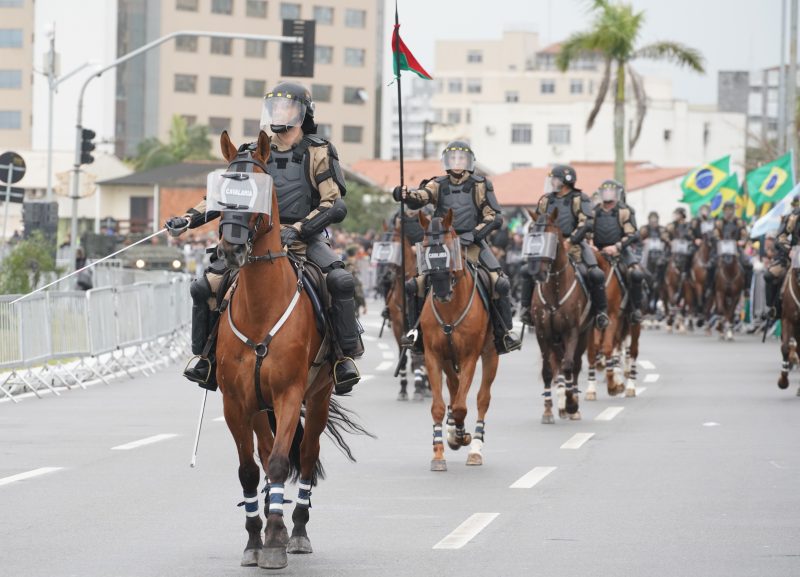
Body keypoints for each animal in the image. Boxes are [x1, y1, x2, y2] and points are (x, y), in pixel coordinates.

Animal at [212, 129, 368, 568]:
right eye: (221, 191)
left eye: (259, 192)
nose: (230, 249)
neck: (260, 310)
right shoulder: (236, 401)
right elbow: (250, 469)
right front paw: (254, 539)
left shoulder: (288, 394)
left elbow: (284, 462)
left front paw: (277, 539)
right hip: (259, 407)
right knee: (265, 455)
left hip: (317, 397)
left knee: (308, 455)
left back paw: (296, 530)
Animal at [418, 209, 500, 470]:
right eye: (424, 249)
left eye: (452, 249)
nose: (442, 291)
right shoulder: (433, 356)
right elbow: (439, 406)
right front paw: (438, 452)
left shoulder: (469, 357)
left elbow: (463, 406)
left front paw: (461, 436)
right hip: (447, 360)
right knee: (454, 388)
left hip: (491, 355)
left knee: (482, 399)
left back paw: (474, 448)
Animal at [524, 208, 592, 424]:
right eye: (531, 235)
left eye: (551, 239)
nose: (536, 272)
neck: (555, 286)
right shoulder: (543, 333)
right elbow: (547, 371)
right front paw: (548, 411)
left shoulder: (572, 332)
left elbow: (569, 366)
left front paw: (572, 404)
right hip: (555, 341)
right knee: (559, 366)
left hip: (583, 336)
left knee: (574, 366)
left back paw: (572, 405)